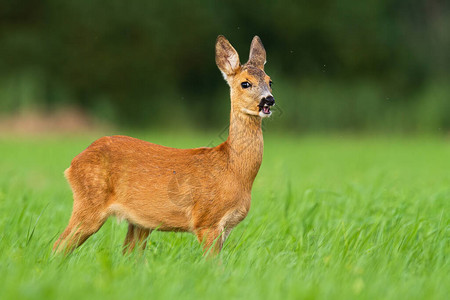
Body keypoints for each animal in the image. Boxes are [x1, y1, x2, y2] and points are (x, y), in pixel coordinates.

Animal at [54, 35, 276, 255]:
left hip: (138, 223)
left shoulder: (225, 227)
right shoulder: (206, 220)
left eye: (270, 81)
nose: (269, 100)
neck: (233, 170)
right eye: (245, 83)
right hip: (90, 204)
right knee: (59, 246)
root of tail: (73, 163)